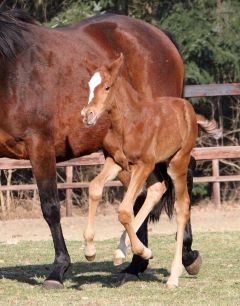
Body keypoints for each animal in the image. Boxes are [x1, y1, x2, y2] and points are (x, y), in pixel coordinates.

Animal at [80, 54, 218, 286]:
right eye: (89, 86)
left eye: (107, 87)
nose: (87, 115)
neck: (128, 122)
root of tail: (190, 111)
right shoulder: (115, 161)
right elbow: (95, 189)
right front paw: (90, 250)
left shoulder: (142, 164)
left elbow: (124, 210)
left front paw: (144, 252)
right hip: (157, 165)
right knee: (157, 189)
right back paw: (121, 252)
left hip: (176, 163)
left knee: (182, 206)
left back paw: (173, 276)